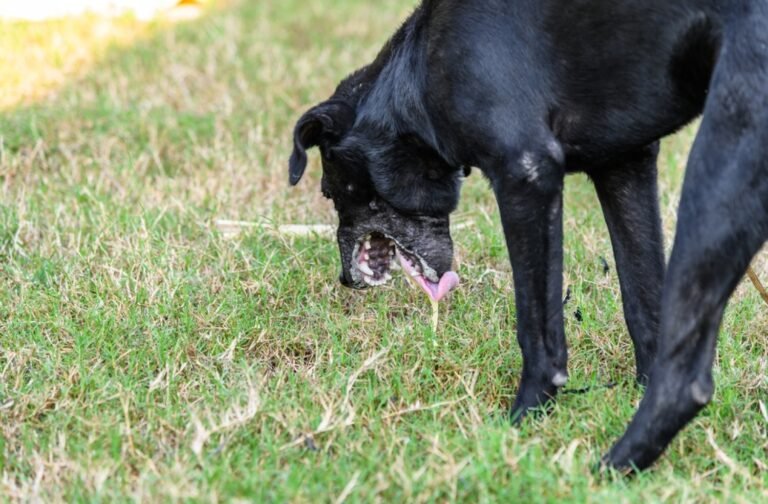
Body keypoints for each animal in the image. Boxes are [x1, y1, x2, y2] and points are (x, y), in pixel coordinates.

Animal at [290, 0, 768, 472]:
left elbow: (537, 330)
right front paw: (635, 388)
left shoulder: (526, 174)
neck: (415, 74)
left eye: (330, 191)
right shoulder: (625, 165)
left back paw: (611, 466)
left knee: (687, 380)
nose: (345, 279)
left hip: (718, 167)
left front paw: (523, 419)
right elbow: (643, 304)